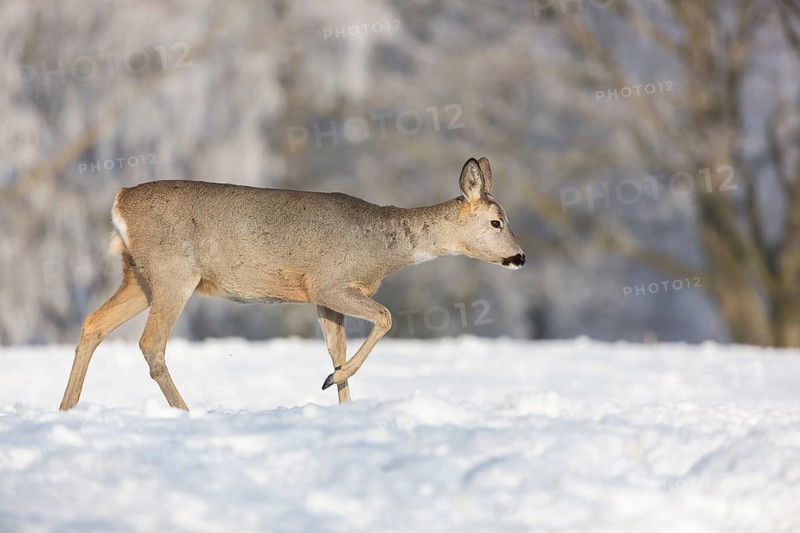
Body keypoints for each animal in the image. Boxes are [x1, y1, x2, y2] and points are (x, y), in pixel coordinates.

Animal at [59, 157, 525, 411]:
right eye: (496, 222)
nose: (520, 257)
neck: (381, 248)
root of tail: (119, 201)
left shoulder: (325, 299)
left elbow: (337, 351)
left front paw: (339, 393)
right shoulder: (328, 283)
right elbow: (387, 317)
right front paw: (330, 381)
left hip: (139, 276)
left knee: (93, 324)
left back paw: (66, 408)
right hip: (174, 272)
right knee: (150, 343)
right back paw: (186, 411)